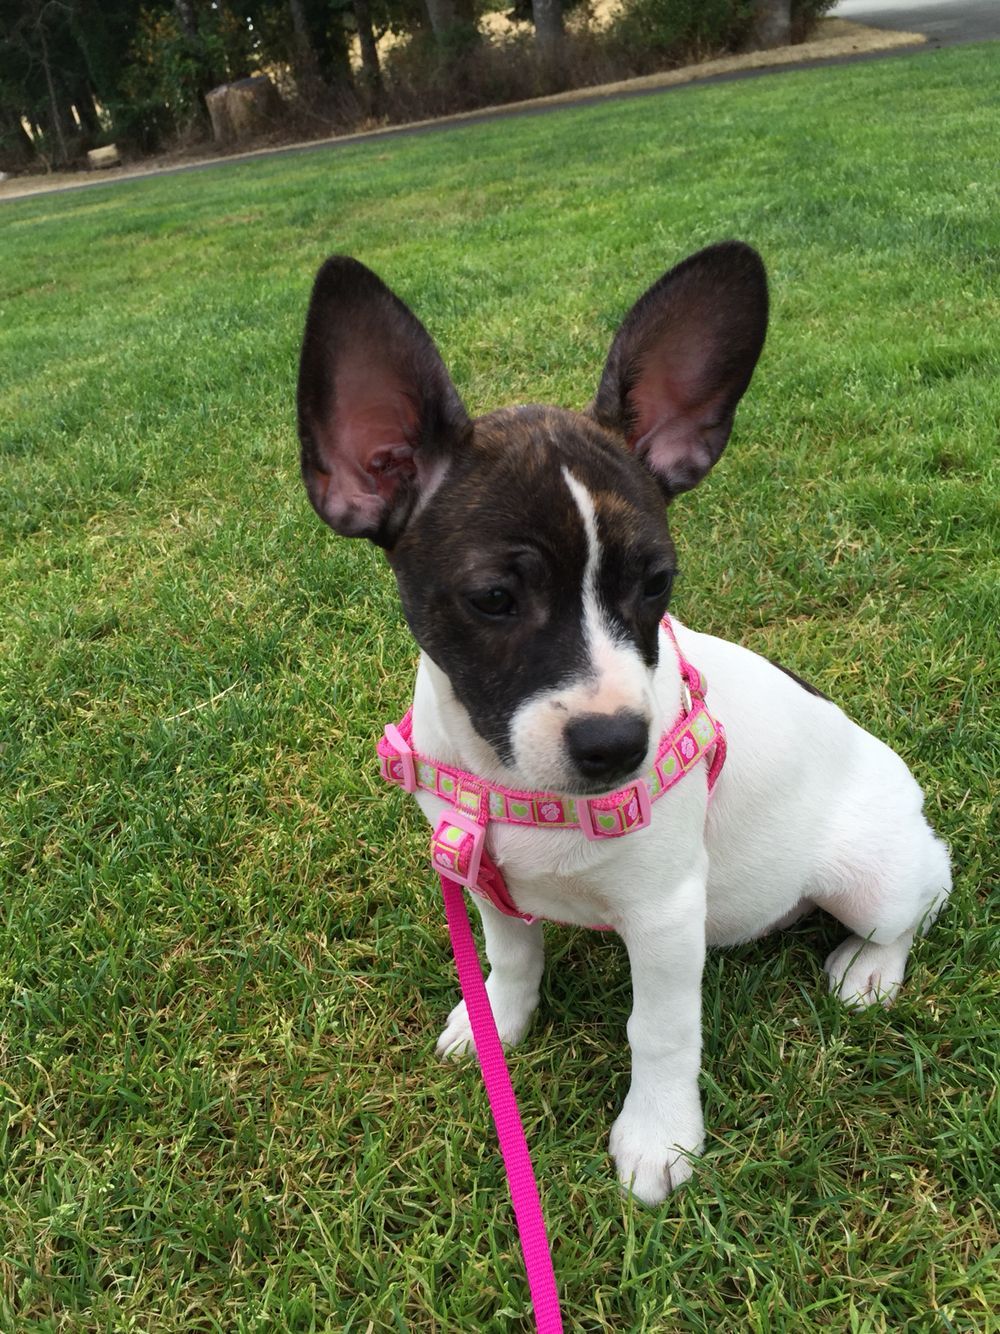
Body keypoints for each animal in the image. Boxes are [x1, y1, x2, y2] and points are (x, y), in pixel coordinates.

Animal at [297, 242, 954, 1211]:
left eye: (657, 585)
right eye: (494, 599)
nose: (616, 745)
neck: (517, 786)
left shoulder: (666, 914)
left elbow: (662, 1030)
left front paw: (658, 1137)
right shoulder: (480, 876)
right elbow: (511, 958)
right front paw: (498, 1024)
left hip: (873, 876)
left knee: (915, 904)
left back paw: (868, 968)